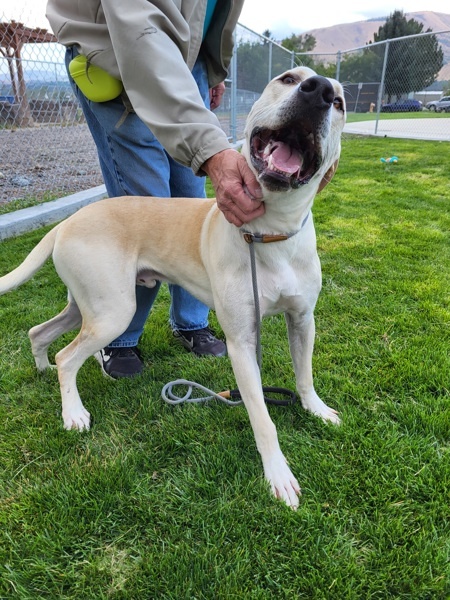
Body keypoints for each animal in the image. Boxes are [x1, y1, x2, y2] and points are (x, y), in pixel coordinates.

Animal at [0, 67, 348, 506]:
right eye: (287, 79)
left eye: (340, 103)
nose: (319, 90)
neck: (271, 232)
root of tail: (67, 222)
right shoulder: (241, 343)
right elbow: (262, 417)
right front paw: (278, 475)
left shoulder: (302, 321)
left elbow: (304, 376)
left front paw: (315, 409)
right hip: (114, 313)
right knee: (68, 356)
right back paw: (73, 412)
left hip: (87, 307)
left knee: (39, 332)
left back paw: (44, 368)